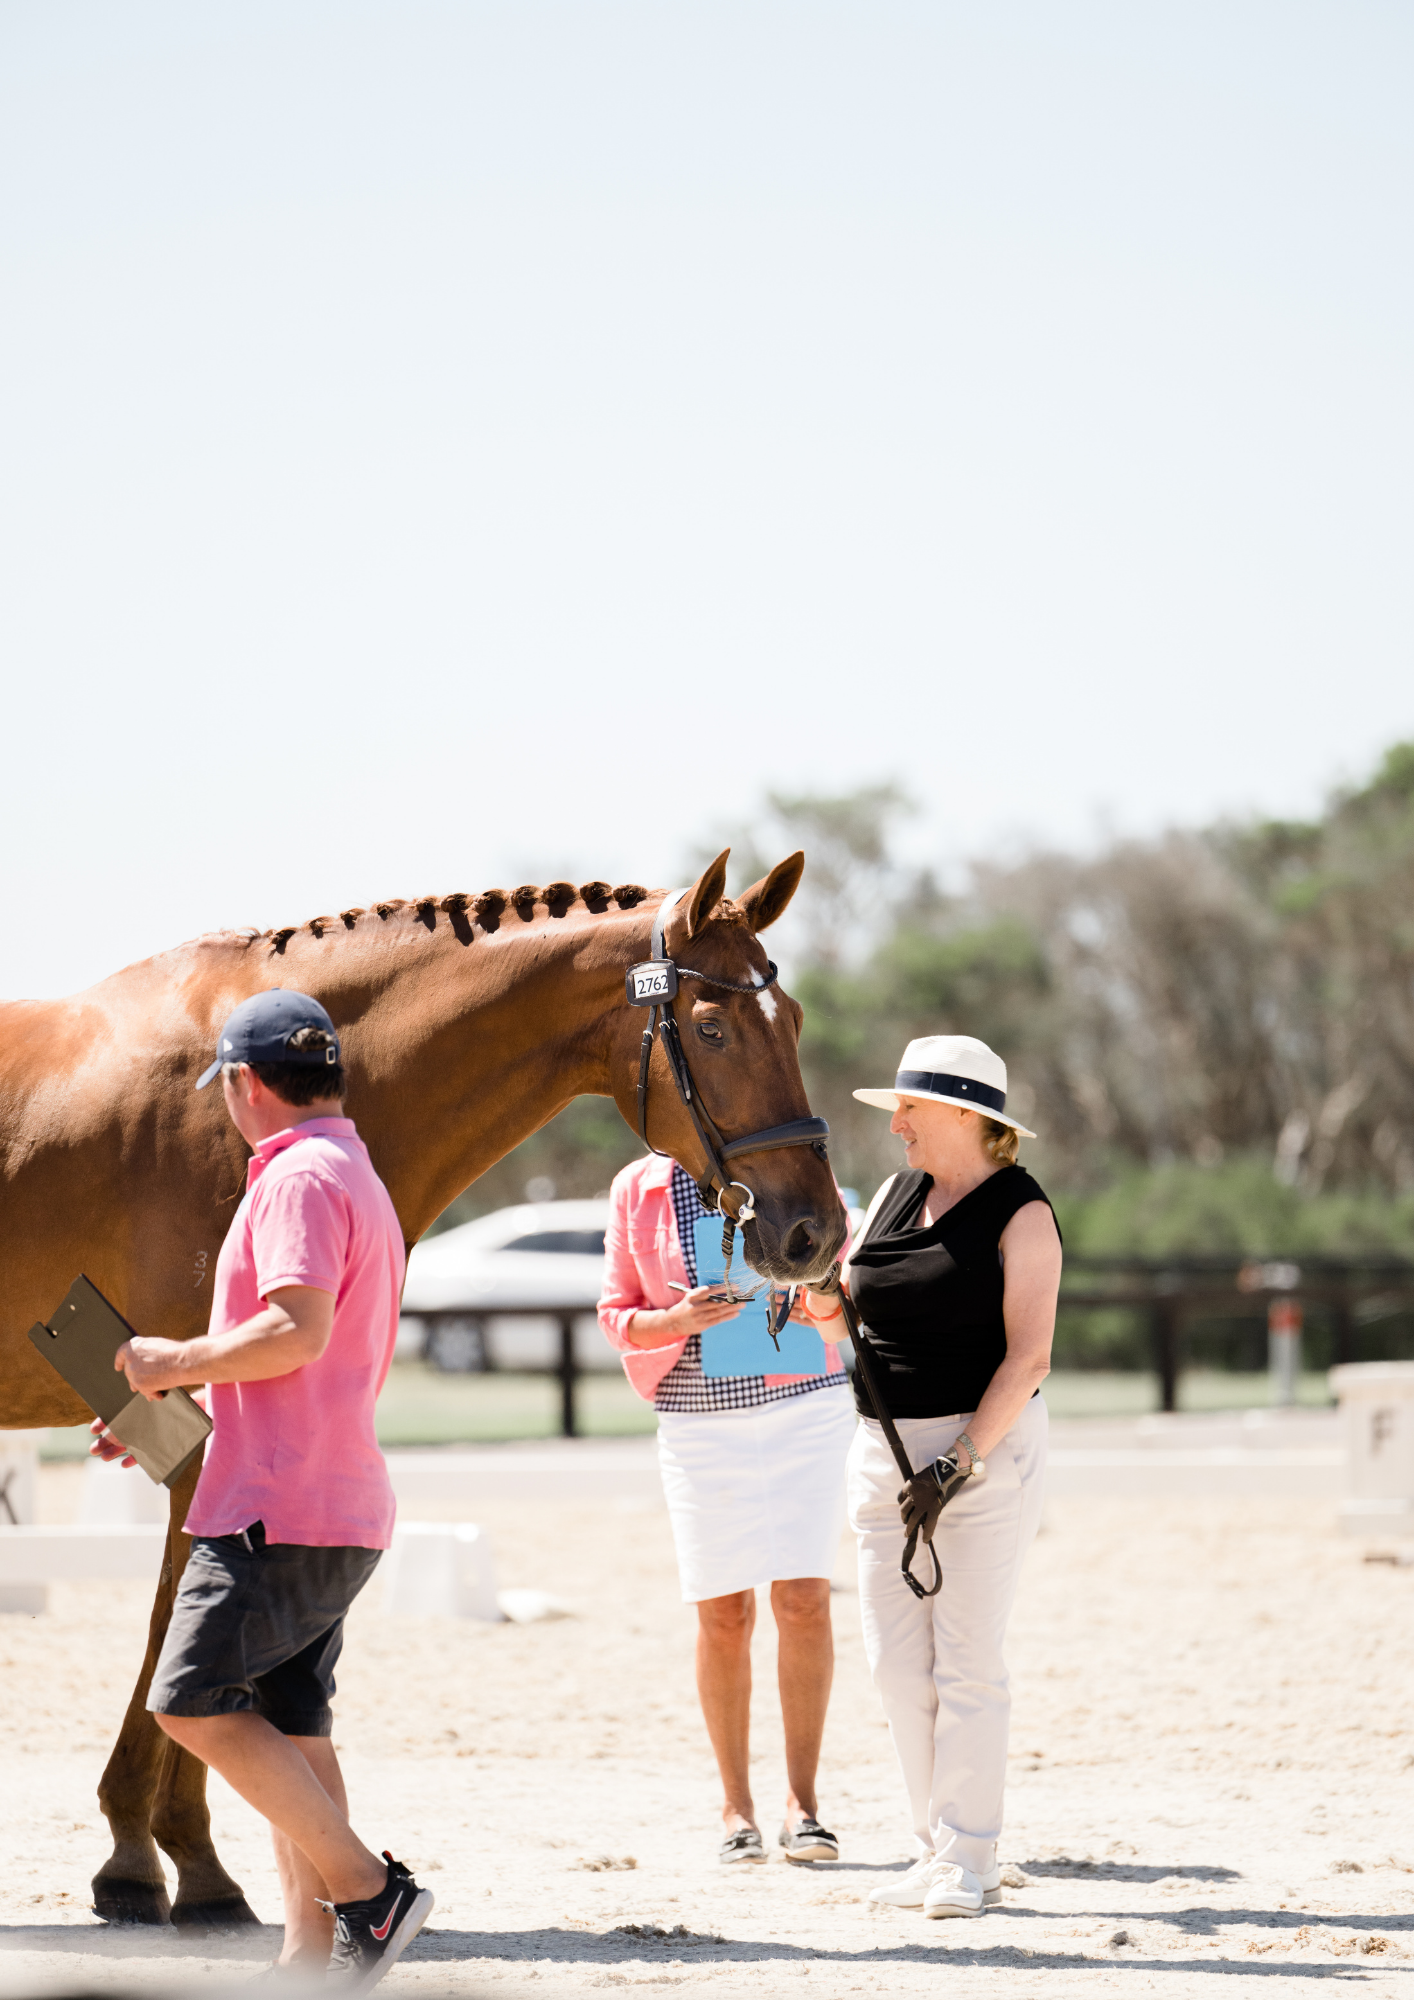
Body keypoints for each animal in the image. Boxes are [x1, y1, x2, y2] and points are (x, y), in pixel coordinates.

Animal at [2, 852, 840, 1928]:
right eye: (711, 1026)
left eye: (799, 1017)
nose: (816, 1231)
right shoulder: (202, 1423)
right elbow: (180, 1626)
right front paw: (157, 1861)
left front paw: (180, 1863)